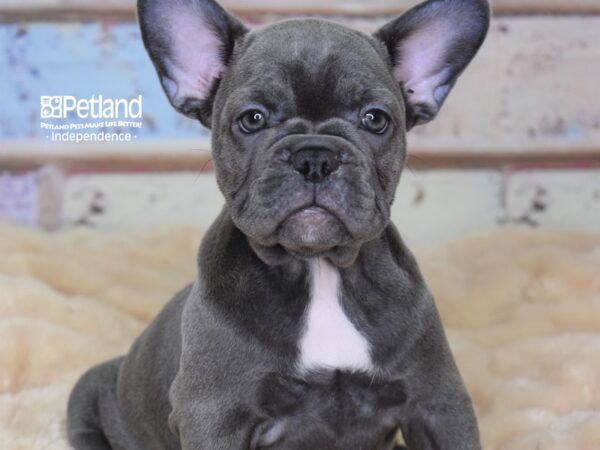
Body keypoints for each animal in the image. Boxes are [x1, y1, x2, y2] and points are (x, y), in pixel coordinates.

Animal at [67, 1, 488, 448]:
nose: (315, 156)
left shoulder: (439, 404)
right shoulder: (216, 415)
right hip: (87, 391)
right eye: (252, 119)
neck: (318, 267)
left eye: (375, 119)